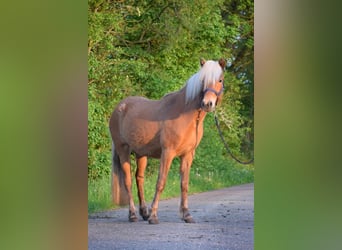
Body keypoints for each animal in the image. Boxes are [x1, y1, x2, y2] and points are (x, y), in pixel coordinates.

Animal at [109, 58, 226, 225]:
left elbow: (184, 184)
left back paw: (144, 212)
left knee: (139, 179)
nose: (207, 104)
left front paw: (186, 215)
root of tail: (119, 107)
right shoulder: (168, 152)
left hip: (141, 153)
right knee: (128, 181)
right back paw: (133, 215)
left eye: (220, 80)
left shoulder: (188, 155)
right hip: (123, 149)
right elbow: (161, 182)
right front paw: (154, 216)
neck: (185, 115)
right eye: (203, 80)